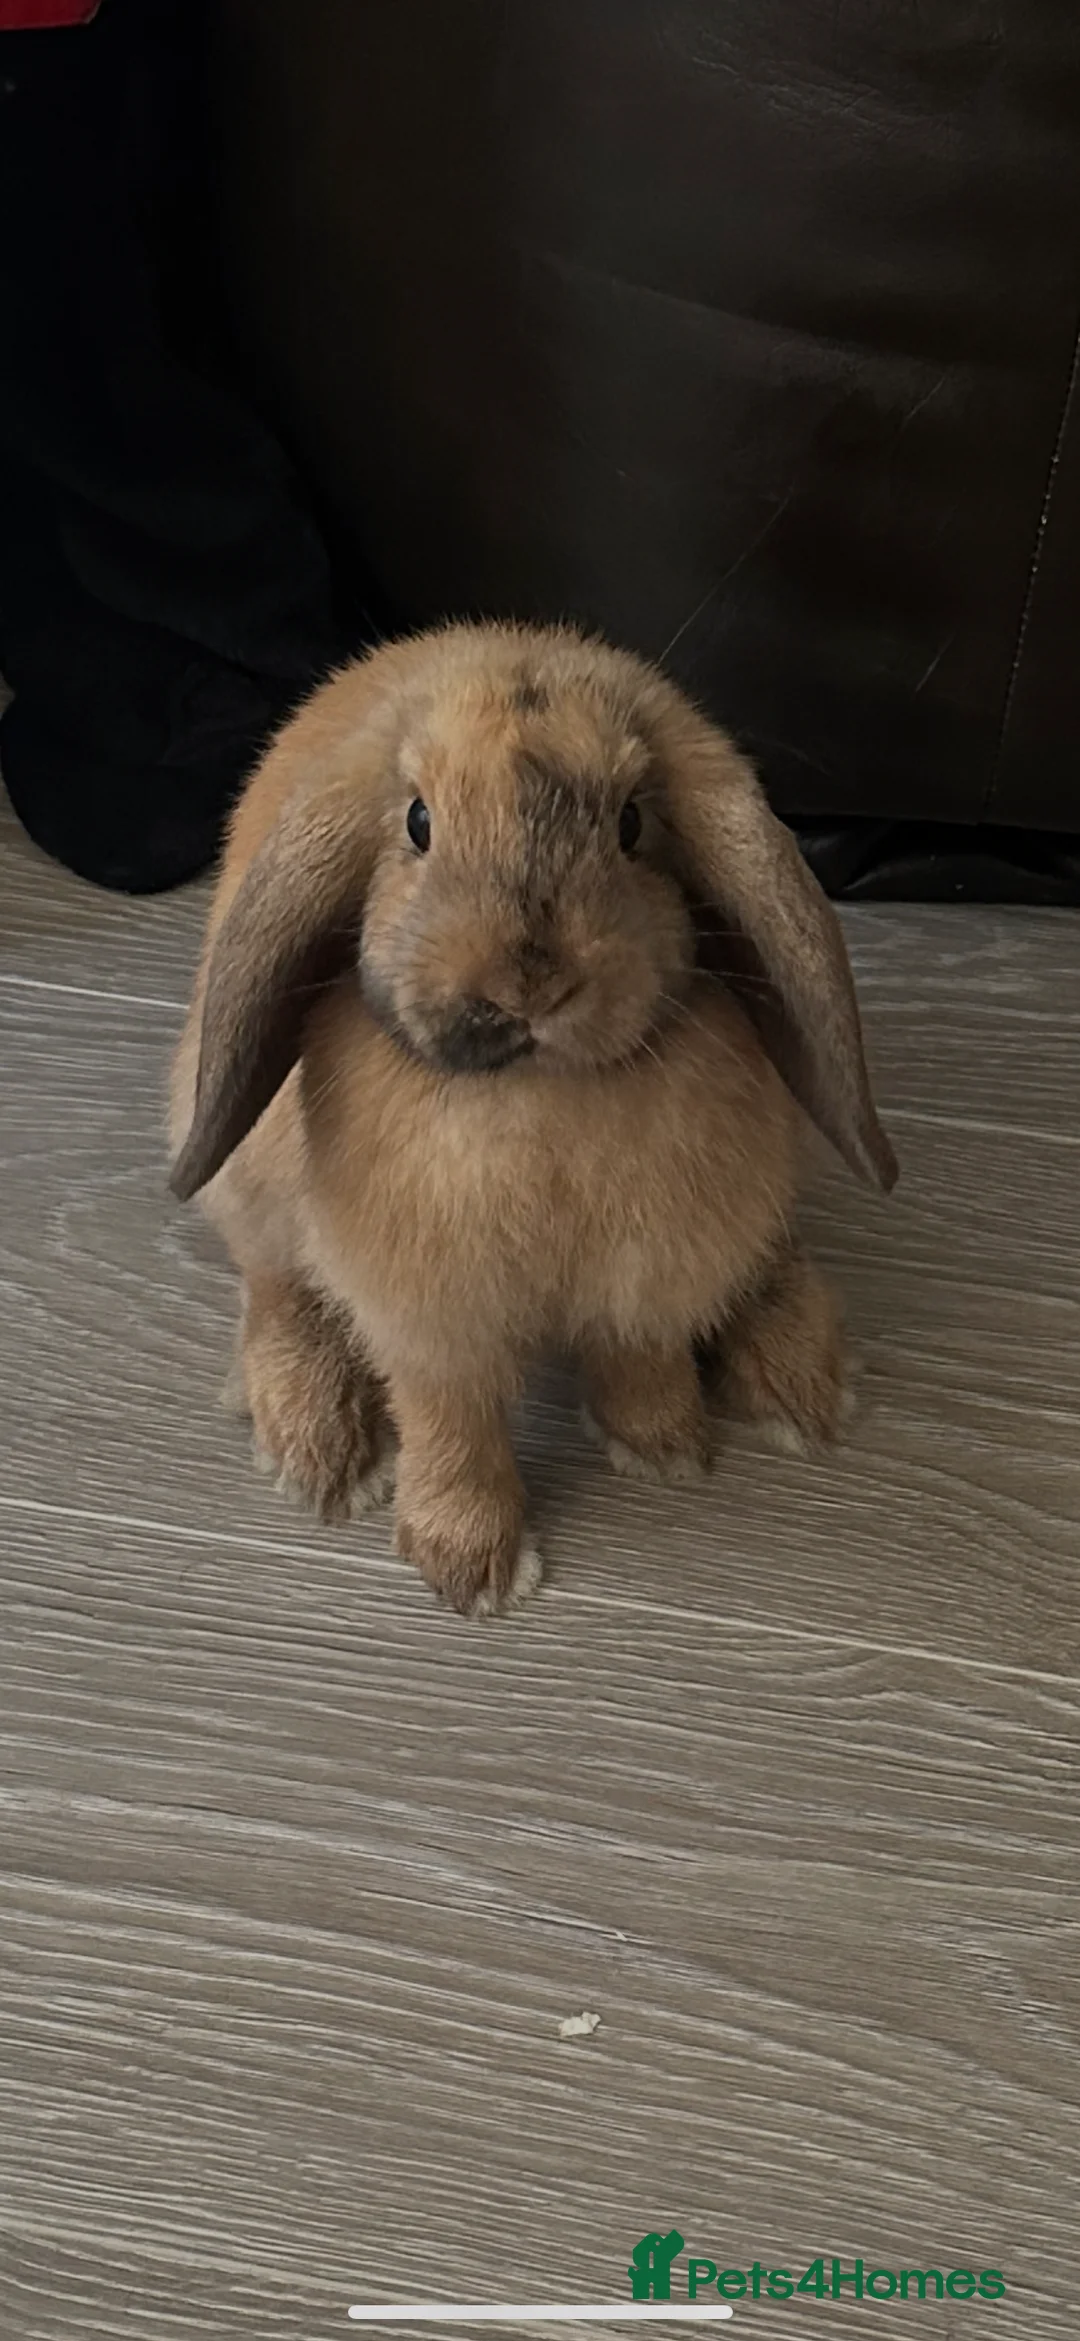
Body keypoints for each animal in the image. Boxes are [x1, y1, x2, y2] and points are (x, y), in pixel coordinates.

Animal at [169, 621, 896, 1617]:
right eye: (418, 822)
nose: (530, 981)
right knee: (276, 1288)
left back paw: (800, 1380)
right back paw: (320, 1451)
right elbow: (453, 1423)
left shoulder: (646, 1274)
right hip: (252, 1176)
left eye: (630, 824)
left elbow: (639, 1352)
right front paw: (468, 1566)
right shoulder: (431, 1322)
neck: (540, 1098)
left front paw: (661, 1443)